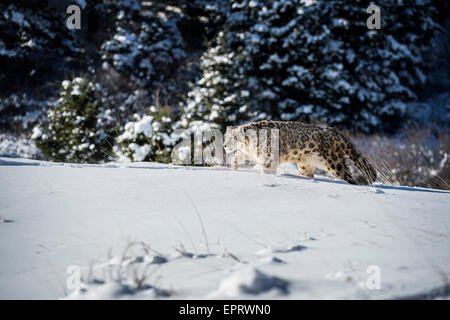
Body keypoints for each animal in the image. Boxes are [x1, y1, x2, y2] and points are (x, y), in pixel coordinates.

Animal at [224, 120, 376, 185]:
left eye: (234, 137)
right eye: (225, 136)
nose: (224, 145)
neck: (249, 147)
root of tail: (332, 130)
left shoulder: (268, 159)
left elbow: (267, 170)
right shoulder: (247, 153)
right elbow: (237, 156)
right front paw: (234, 167)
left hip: (334, 162)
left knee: (348, 175)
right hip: (305, 165)